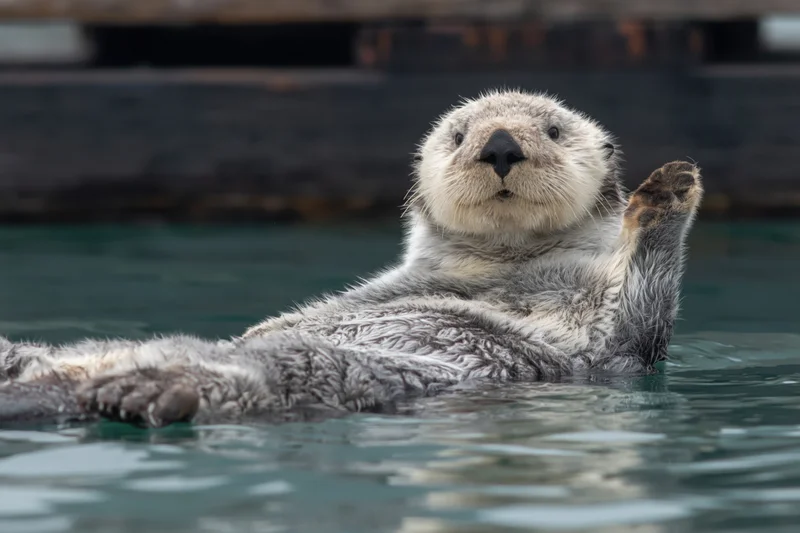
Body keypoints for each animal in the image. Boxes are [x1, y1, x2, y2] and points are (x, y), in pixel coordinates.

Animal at [0, 89, 702, 427]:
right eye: (458, 135)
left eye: (554, 131)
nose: (500, 144)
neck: (506, 264)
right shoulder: (386, 287)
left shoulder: (615, 338)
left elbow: (645, 297)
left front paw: (669, 191)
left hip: (332, 369)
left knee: (251, 374)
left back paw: (148, 388)